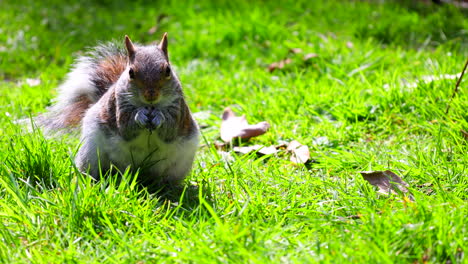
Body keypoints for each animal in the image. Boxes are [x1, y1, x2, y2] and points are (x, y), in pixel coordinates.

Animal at [40, 32, 199, 186]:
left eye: (168, 70)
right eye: (131, 72)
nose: (151, 94)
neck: (150, 106)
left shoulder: (178, 109)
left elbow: (170, 131)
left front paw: (159, 117)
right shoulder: (118, 104)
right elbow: (125, 128)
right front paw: (139, 115)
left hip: (180, 163)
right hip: (91, 151)